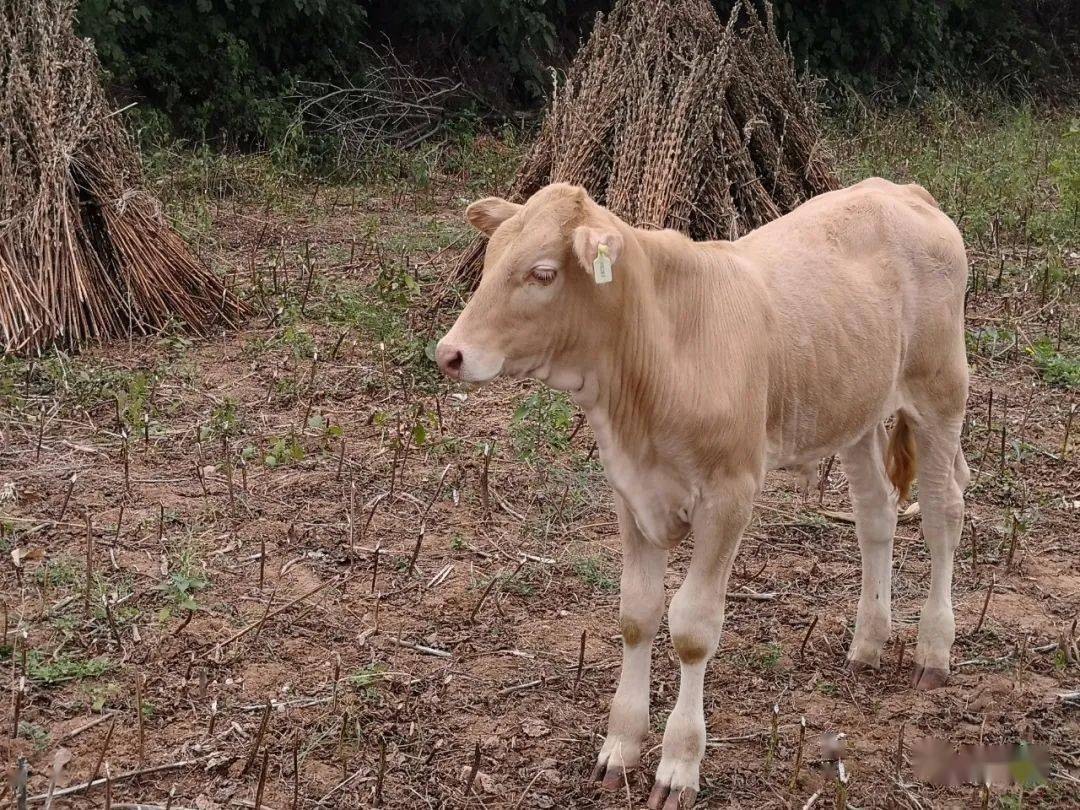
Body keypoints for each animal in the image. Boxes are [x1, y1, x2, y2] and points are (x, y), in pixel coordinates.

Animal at [434, 179, 967, 810]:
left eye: (542, 273)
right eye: (491, 260)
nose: (449, 353)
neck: (660, 358)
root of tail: (899, 189)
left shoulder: (728, 496)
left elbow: (692, 628)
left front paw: (679, 763)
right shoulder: (631, 492)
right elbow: (636, 613)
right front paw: (620, 746)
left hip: (941, 391)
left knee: (942, 514)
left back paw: (934, 650)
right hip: (855, 411)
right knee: (876, 513)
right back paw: (867, 643)